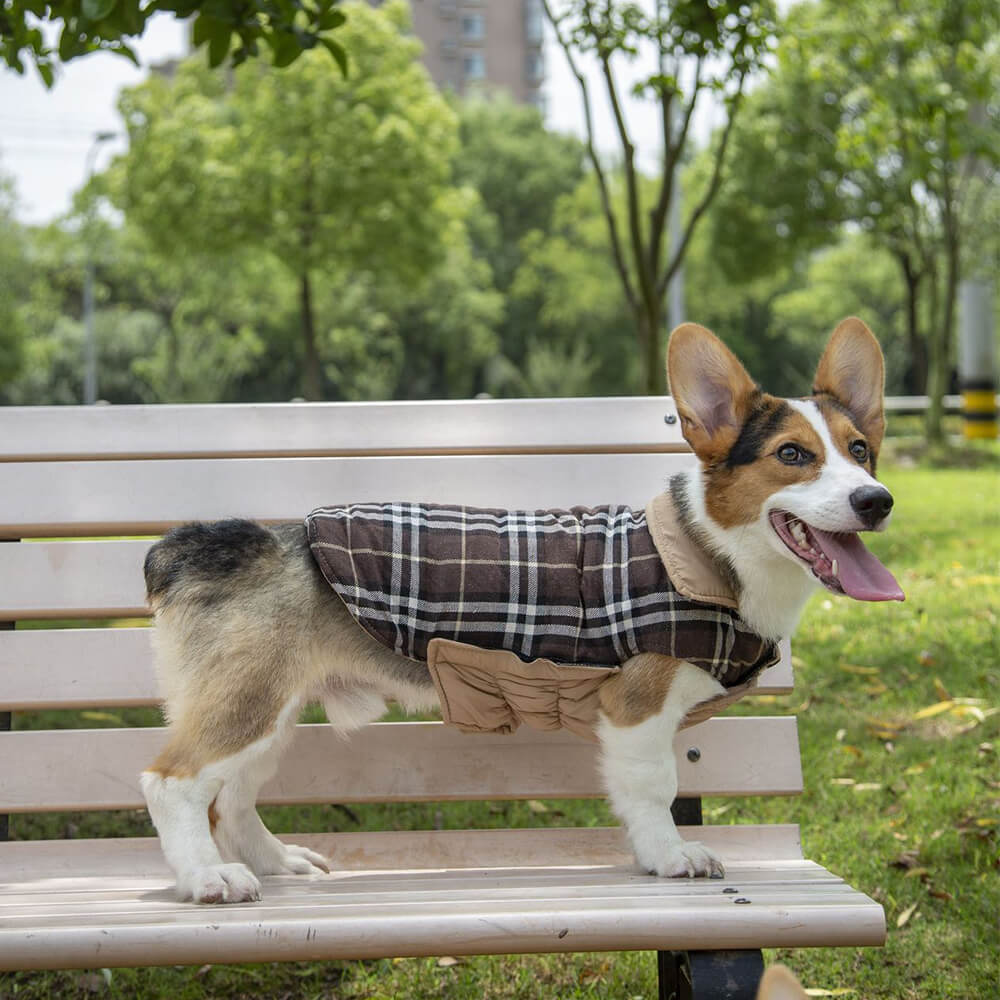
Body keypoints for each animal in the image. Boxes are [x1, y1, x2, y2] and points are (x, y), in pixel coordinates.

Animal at [137, 316, 904, 904]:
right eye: (792, 455)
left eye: (861, 450)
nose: (877, 500)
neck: (706, 551)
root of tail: (213, 542)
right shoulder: (637, 708)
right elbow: (654, 787)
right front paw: (668, 857)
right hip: (248, 704)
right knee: (171, 783)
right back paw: (206, 879)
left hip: (274, 711)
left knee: (234, 797)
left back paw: (274, 863)